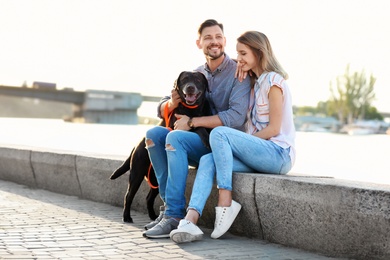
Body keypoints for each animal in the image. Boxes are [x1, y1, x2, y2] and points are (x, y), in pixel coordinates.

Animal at [110, 71, 210, 223]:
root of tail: (136, 145)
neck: (192, 109)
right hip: (137, 173)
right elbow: (196, 126)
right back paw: (127, 217)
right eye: (185, 79)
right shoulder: (178, 125)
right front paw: (205, 137)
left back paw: (152, 216)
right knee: (128, 195)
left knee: (149, 197)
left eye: (198, 80)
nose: (190, 87)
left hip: (155, 177)